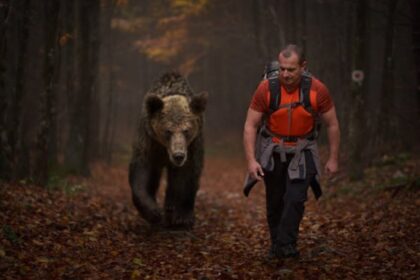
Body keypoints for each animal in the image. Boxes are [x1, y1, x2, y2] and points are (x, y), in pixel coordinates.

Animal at [128, 71, 207, 230]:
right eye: (168, 131)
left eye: (186, 130)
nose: (178, 155)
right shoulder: (149, 142)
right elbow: (142, 173)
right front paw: (153, 212)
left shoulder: (192, 146)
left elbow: (187, 175)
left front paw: (182, 217)